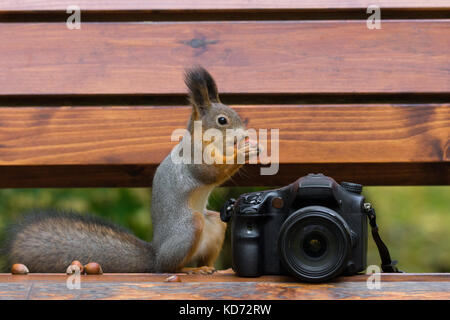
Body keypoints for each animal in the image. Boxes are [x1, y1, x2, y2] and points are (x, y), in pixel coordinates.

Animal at [3, 66, 258, 274]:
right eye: (222, 120)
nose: (245, 135)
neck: (210, 141)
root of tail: (156, 255)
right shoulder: (193, 157)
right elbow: (210, 172)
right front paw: (243, 152)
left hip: (216, 224)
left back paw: (216, 268)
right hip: (189, 228)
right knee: (170, 267)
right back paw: (189, 270)